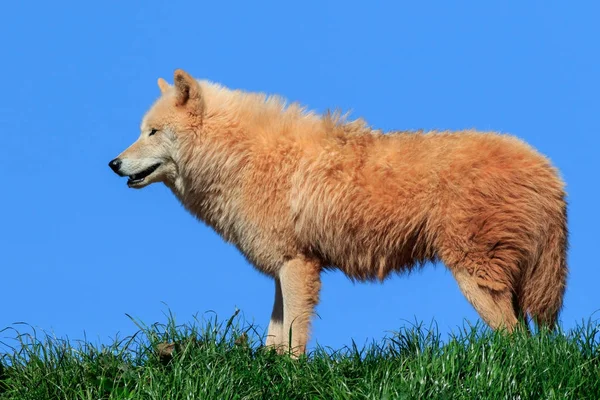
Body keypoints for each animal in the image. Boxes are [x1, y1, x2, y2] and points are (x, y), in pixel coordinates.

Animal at [109, 69, 568, 356]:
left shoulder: (298, 265)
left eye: (152, 132)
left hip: (476, 279)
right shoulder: (285, 268)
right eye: (140, 131)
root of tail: (549, 171)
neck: (242, 159)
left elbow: (294, 338)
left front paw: (291, 375)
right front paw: (269, 371)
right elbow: (274, 337)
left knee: (517, 341)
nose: (113, 164)